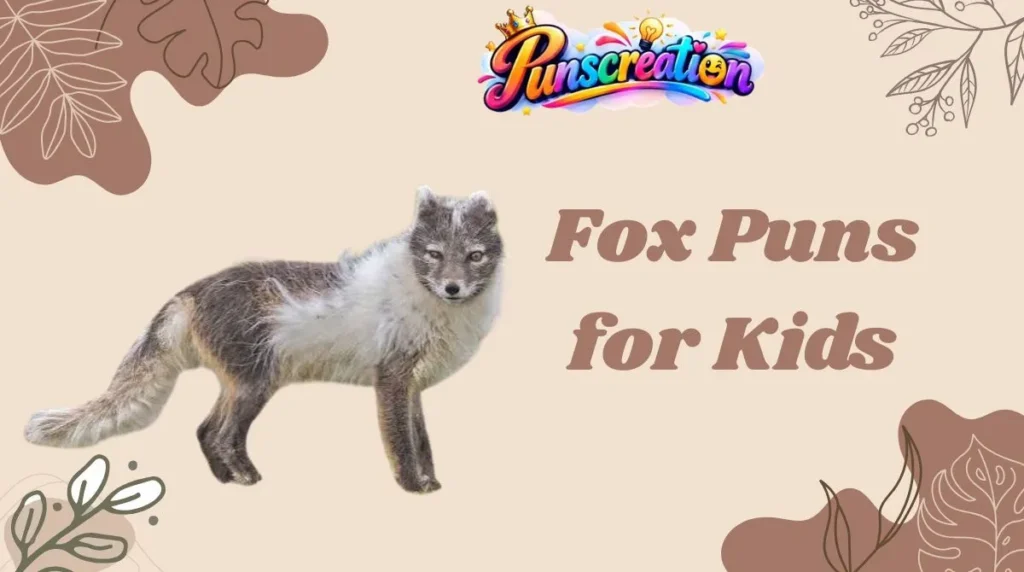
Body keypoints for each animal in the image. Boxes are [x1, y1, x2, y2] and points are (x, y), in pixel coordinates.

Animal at [23, 186, 504, 494]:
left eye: (475, 256)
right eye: (434, 255)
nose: (452, 288)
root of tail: (191, 290)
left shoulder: (412, 387)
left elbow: (423, 441)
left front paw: (431, 481)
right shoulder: (392, 380)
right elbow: (403, 444)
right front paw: (414, 487)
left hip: (240, 384)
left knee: (204, 430)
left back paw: (225, 481)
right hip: (254, 384)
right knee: (220, 434)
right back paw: (246, 479)